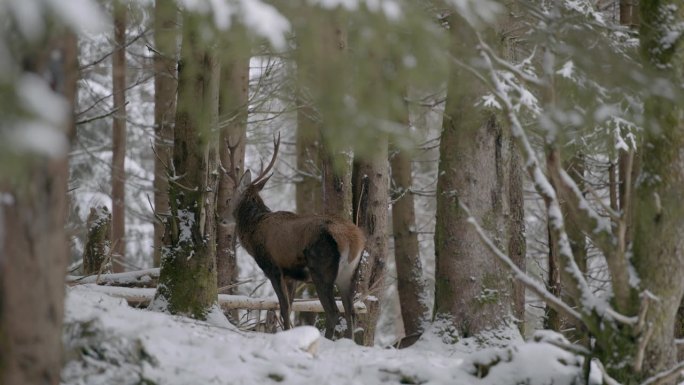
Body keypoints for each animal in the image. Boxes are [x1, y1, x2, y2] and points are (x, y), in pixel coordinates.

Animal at [223, 134, 364, 338]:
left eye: (228, 200)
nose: (221, 218)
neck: (253, 232)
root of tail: (354, 241)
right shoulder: (292, 275)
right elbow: (289, 307)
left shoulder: (273, 267)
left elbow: (283, 307)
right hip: (349, 274)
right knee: (350, 311)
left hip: (321, 269)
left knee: (333, 312)